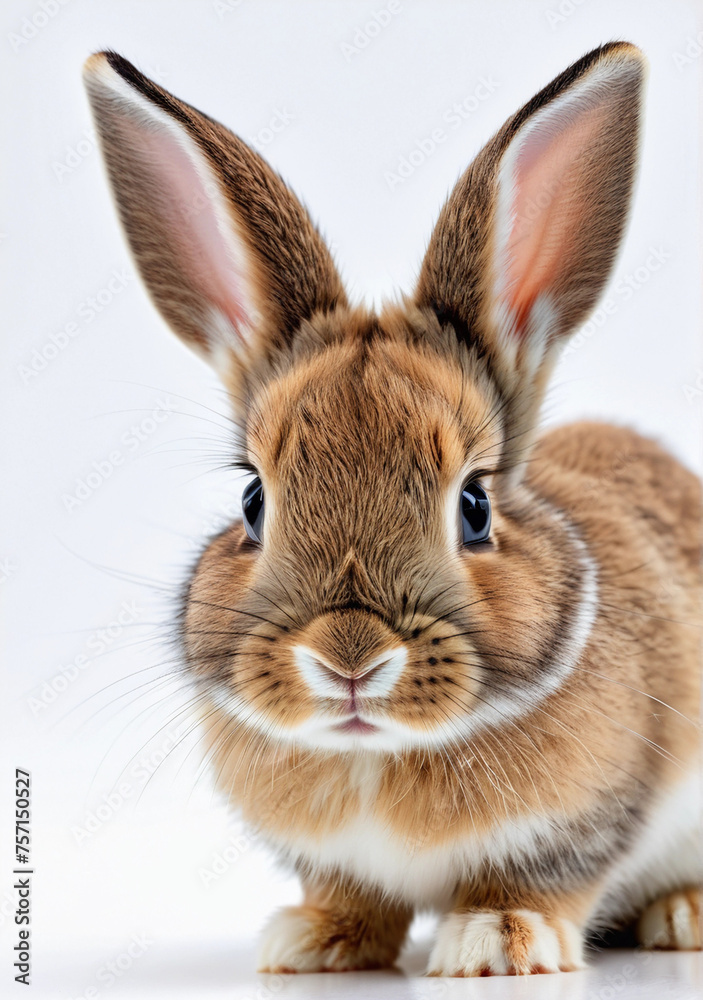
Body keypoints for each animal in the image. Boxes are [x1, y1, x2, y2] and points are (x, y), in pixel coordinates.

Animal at [83, 42, 701, 977]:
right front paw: (311, 942)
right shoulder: (333, 861)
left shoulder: (585, 824)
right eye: (252, 499)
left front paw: (497, 941)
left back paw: (680, 916)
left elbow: (538, 880)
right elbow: (352, 897)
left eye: (474, 505)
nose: (347, 658)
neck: (374, 754)